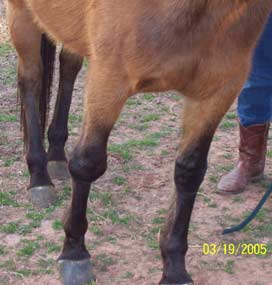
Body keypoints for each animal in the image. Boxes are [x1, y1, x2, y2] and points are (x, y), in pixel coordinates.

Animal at [5, 0, 272, 284]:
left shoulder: (219, 90)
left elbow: (189, 172)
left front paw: (174, 267)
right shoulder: (109, 78)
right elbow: (88, 163)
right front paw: (74, 252)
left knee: (68, 65)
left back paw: (56, 154)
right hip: (21, 15)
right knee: (31, 81)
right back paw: (39, 177)